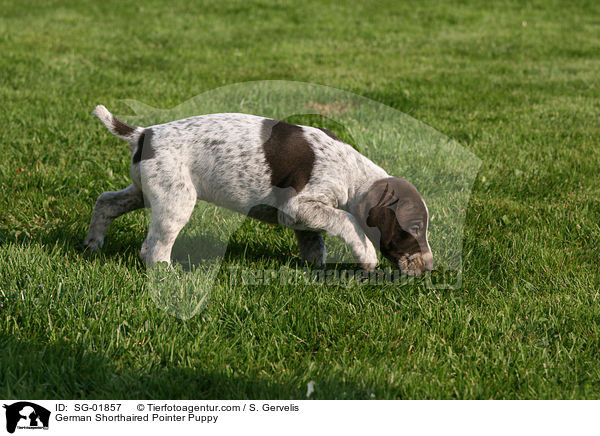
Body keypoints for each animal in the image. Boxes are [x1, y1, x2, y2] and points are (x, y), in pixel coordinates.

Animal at [84, 105, 432, 274]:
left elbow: (314, 243)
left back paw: (92, 245)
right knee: (153, 248)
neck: (353, 173)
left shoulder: (302, 218)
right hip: (176, 200)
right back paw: (168, 275)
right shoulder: (299, 207)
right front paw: (367, 256)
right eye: (414, 228)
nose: (429, 267)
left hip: (145, 190)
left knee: (105, 203)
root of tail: (145, 134)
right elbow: (346, 221)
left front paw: (315, 268)